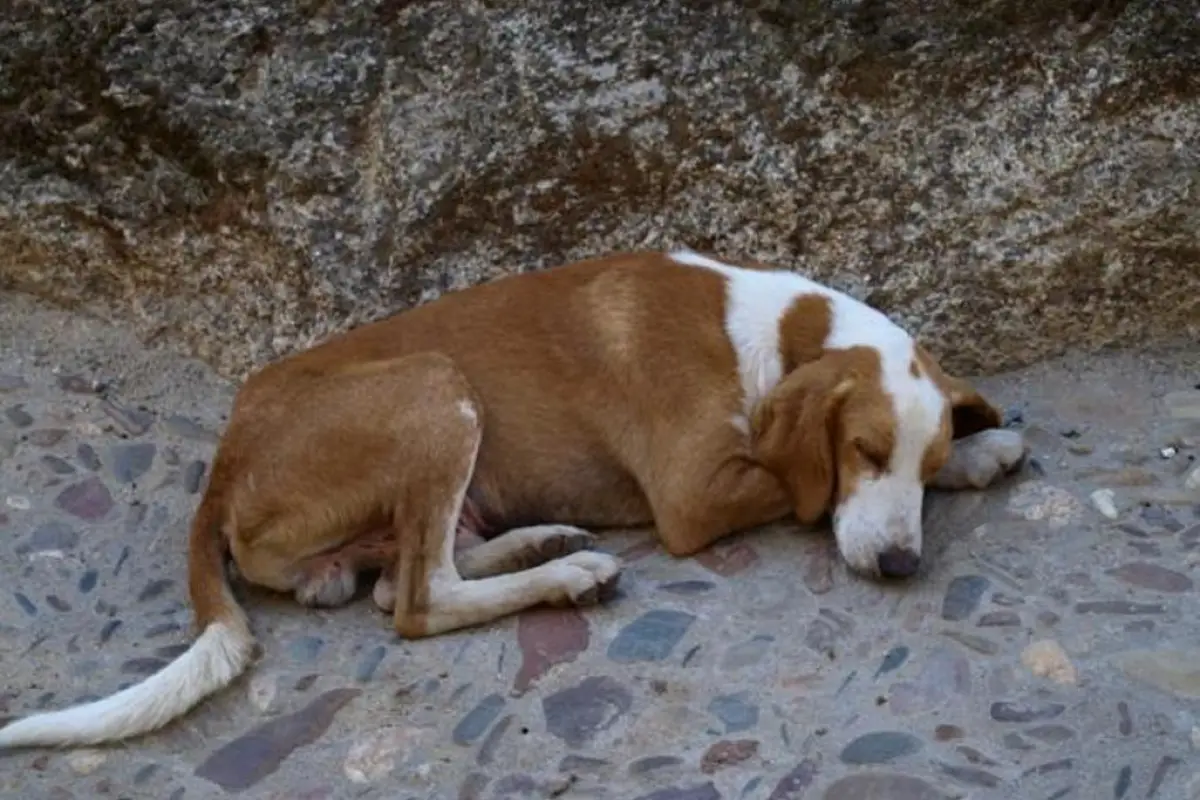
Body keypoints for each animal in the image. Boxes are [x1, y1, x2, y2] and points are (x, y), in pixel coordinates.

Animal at [0, 248, 1022, 753]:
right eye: (863, 451)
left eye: (920, 464)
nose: (901, 566)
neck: (773, 332)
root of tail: (222, 466)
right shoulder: (696, 495)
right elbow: (795, 493)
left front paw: (985, 448)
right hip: (434, 385)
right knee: (417, 602)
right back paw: (568, 572)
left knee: (401, 575)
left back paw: (541, 541)